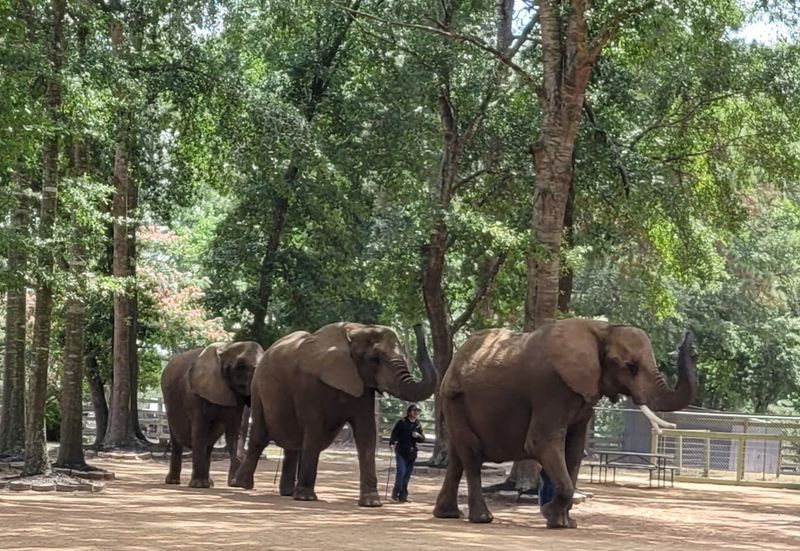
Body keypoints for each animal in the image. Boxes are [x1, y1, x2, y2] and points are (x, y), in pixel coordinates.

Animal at [160, 341, 263, 488]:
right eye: (240, 367)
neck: (226, 349)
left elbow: (233, 433)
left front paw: (234, 484)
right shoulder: (195, 395)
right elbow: (199, 430)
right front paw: (198, 485)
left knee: (209, 444)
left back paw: (209, 483)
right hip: (170, 404)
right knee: (177, 440)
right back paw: (174, 482)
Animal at [231, 323, 437, 507]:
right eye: (375, 358)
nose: (418, 325)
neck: (356, 330)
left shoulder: (362, 386)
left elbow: (367, 432)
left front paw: (372, 503)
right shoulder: (309, 384)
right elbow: (314, 428)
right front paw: (305, 498)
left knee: (293, 443)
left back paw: (286, 493)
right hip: (258, 388)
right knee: (260, 436)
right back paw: (242, 485)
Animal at [433, 318, 697, 527]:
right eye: (630, 367)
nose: (688, 337)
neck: (602, 330)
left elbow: (575, 449)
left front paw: (564, 522)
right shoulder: (551, 388)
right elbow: (541, 442)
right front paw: (550, 515)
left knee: (457, 456)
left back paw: (448, 514)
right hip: (453, 398)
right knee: (471, 453)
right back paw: (482, 518)